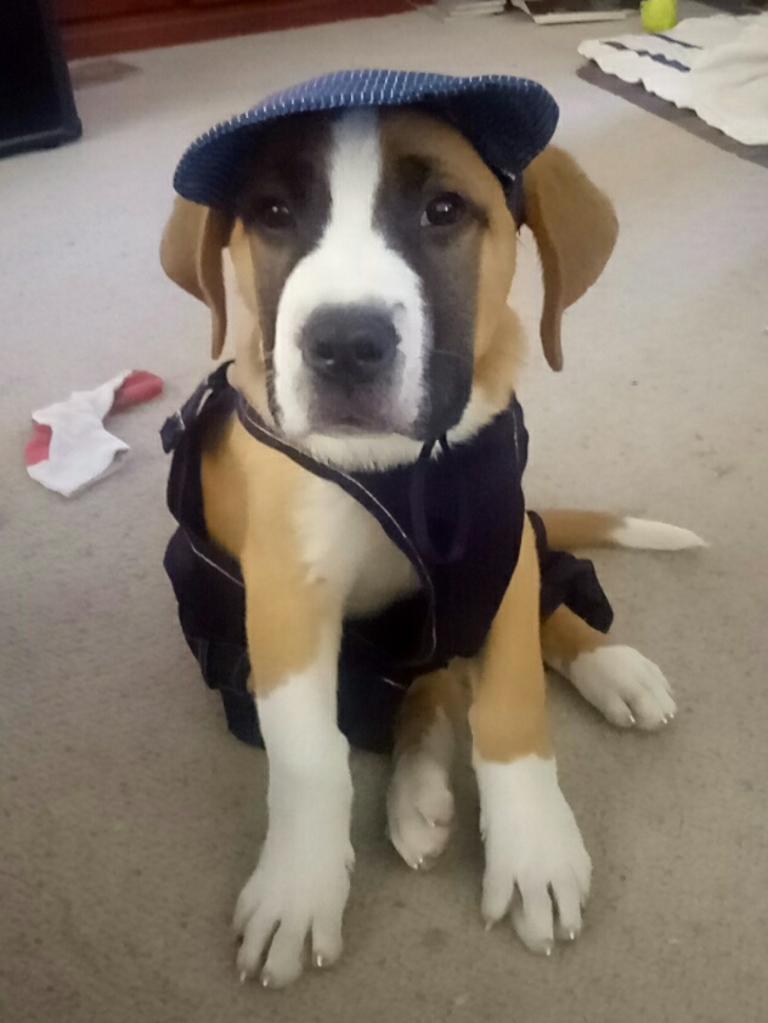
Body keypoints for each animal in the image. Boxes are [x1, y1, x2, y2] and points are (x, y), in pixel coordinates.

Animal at [159, 72, 707, 990]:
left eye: (444, 210)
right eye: (272, 213)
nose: (345, 344)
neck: (399, 469)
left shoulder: (497, 549)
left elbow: (513, 703)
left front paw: (533, 850)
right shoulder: (287, 599)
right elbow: (309, 754)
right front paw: (299, 885)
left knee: (488, 644)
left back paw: (611, 668)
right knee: (423, 685)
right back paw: (418, 794)